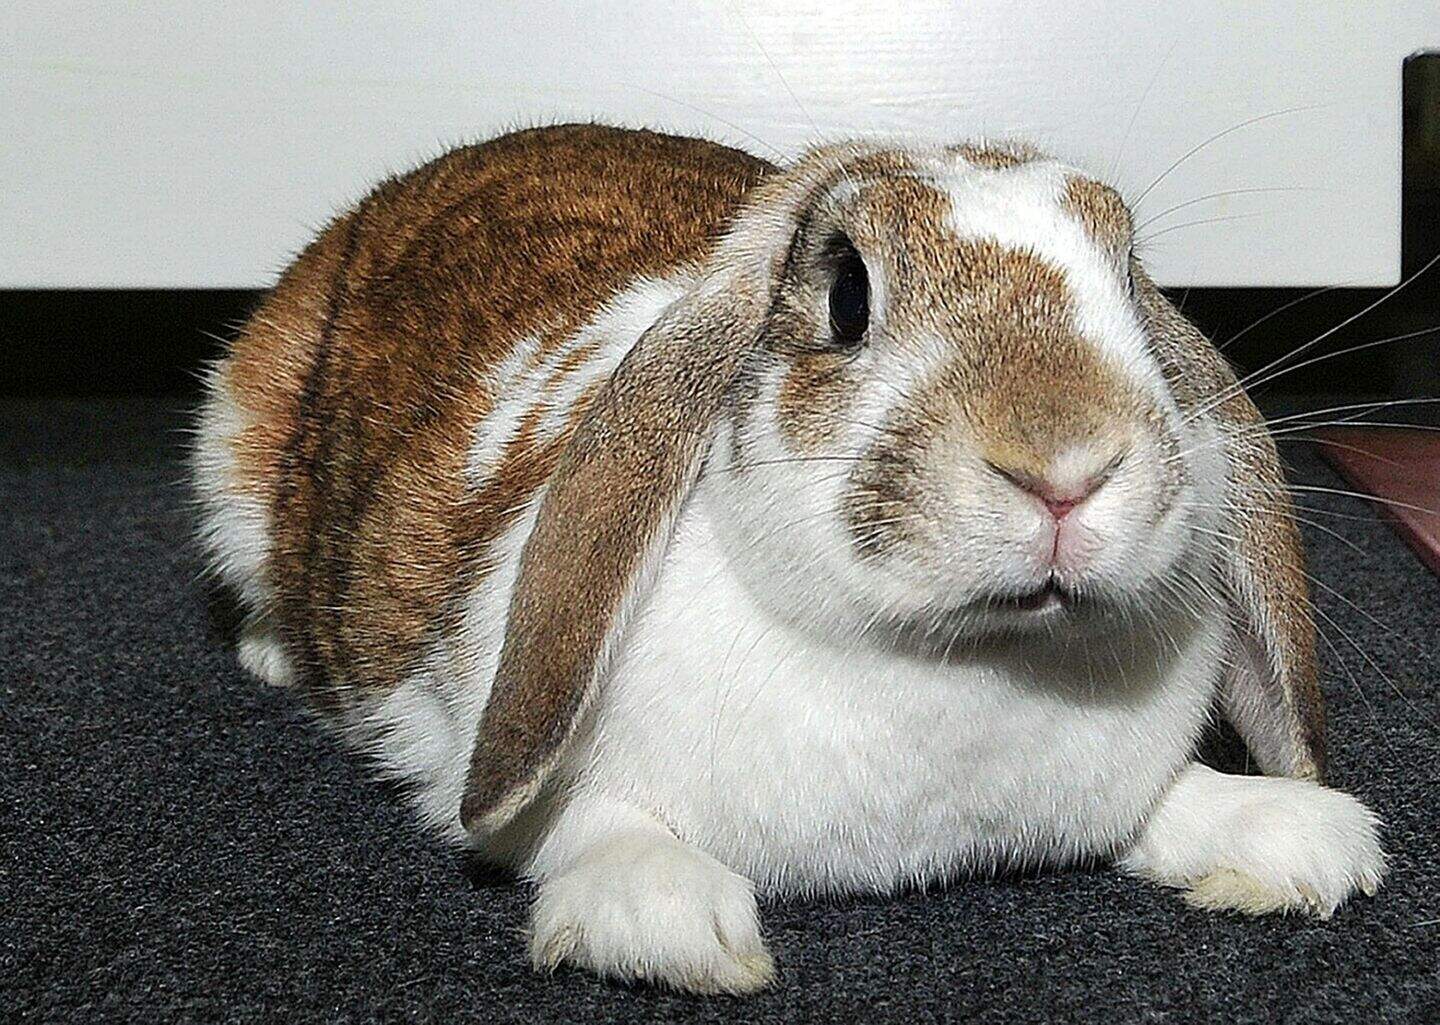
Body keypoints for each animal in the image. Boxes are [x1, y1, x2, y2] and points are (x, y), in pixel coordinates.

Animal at [192, 124, 1385, 994]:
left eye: (1132, 283)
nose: (1065, 467)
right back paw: (267, 655)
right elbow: (584, 824)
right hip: (227, 452)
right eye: (847, 292)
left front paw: (1291, 837)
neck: (964, 667)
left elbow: (1165, 802)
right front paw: (670, 916)